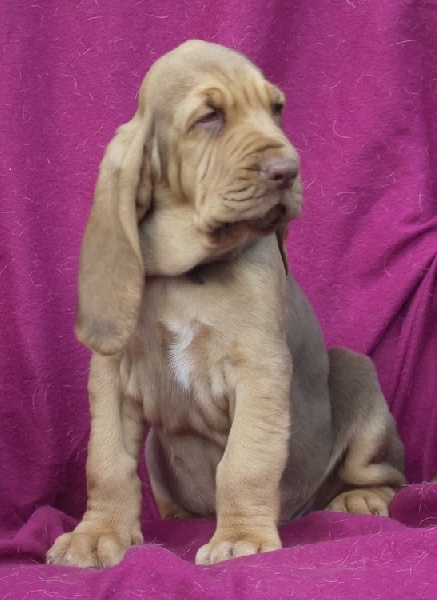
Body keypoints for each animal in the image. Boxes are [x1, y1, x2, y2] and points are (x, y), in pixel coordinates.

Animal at [47, 40, 405, 567]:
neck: (187, 272)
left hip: (357, 375)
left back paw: (359, 499)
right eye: (209, 117)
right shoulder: (110, 379)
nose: (288, 172)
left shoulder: (259, 371)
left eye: (277, 110)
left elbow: (244, 462)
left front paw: (242, 537)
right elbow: (107, 462)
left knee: (389, 474)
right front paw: (97, 534)